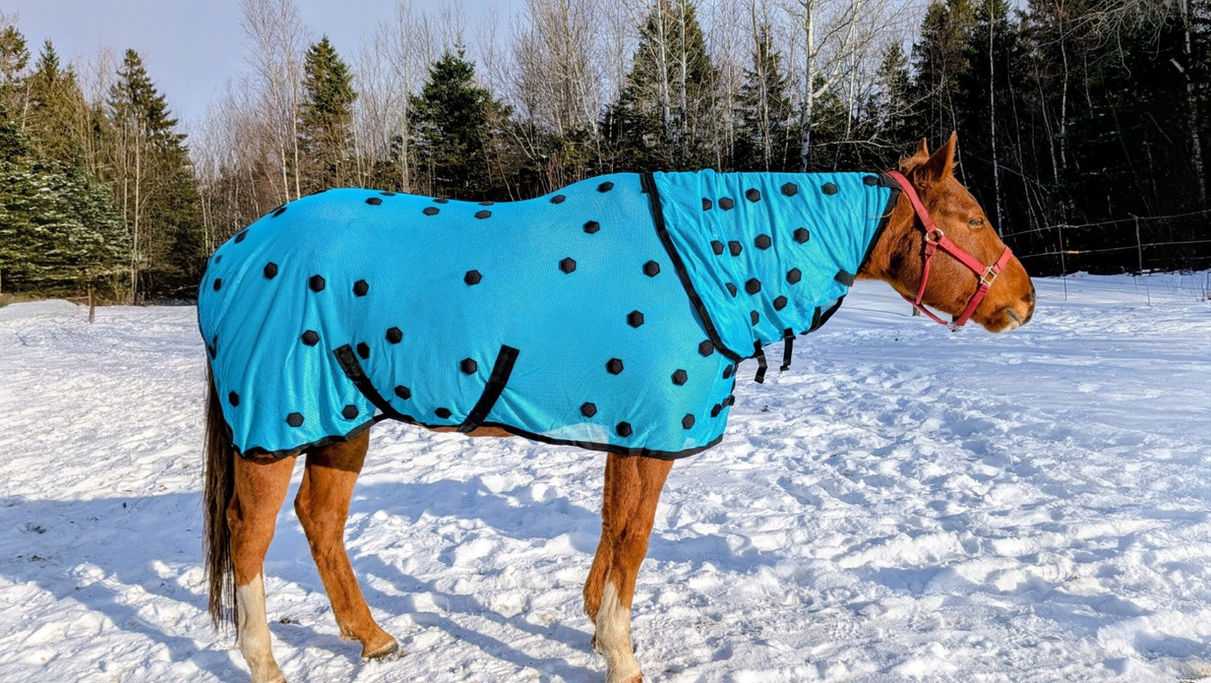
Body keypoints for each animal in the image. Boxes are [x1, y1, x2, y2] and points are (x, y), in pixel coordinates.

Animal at [200, 132, 1035, 682]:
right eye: (967, 219)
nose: (1025, 300)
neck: (703, 260)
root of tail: (229, 255)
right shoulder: (650, 434)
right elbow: (633, 539)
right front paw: (622, 653)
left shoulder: (628, 429)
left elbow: (611, 528)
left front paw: (598, 632)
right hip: (274, 421)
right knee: (251, 533)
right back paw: (265, 661)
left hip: (342, 419)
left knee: (320, 520)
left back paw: (372, 636)